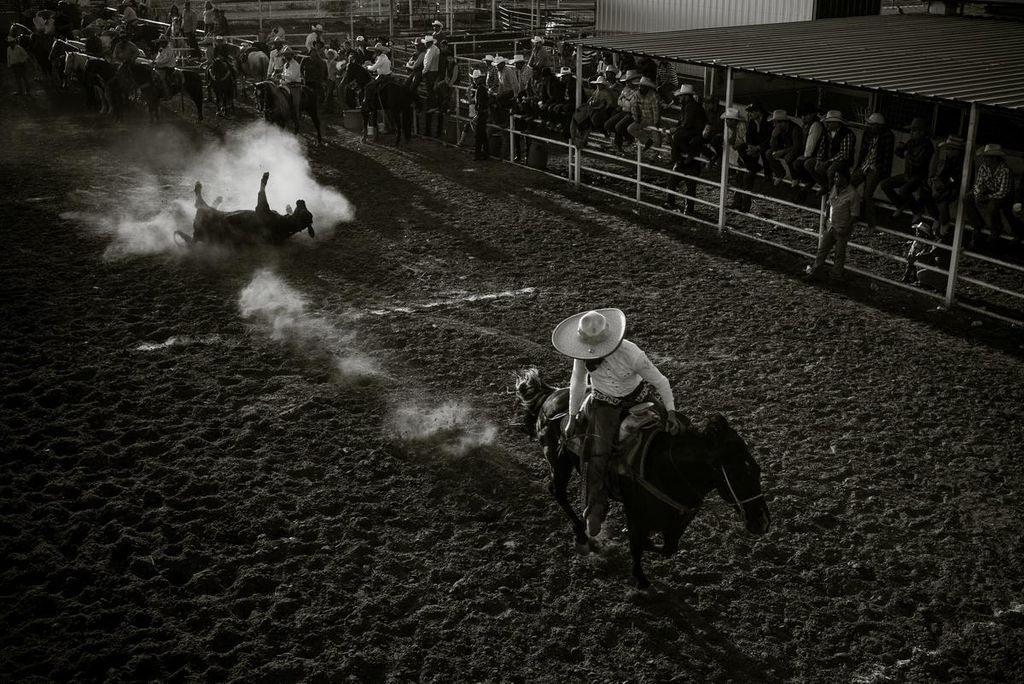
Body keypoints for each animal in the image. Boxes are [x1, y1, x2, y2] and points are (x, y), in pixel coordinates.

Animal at [516, 368, 770, 589]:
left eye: (757, 470)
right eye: (737, 473)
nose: (763, 522)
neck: (669, 469)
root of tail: (551, 395)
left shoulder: (678, 520)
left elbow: (667, 548)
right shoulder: (636, 514)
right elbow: (637, 546)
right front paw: (640, 579)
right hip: (559, 463)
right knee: (557, 492)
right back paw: (581, 535)